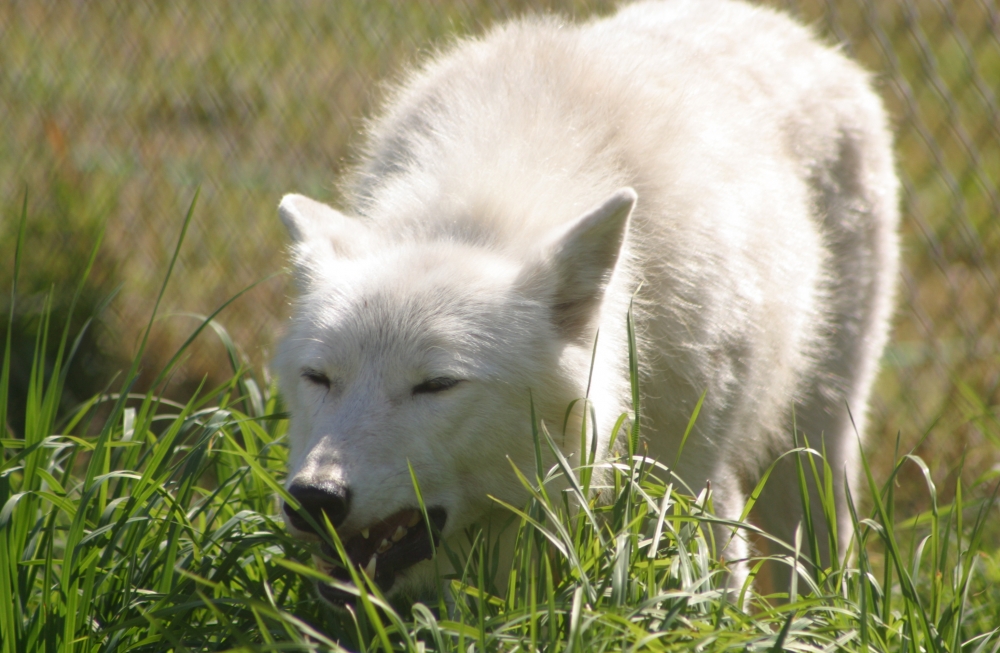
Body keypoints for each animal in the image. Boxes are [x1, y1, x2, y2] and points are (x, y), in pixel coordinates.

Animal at [274, 0, 900, 600]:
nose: (314, 497)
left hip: (816, 444)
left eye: (437, 385)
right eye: (318, 378)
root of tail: (796, 34)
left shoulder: (693, 482)